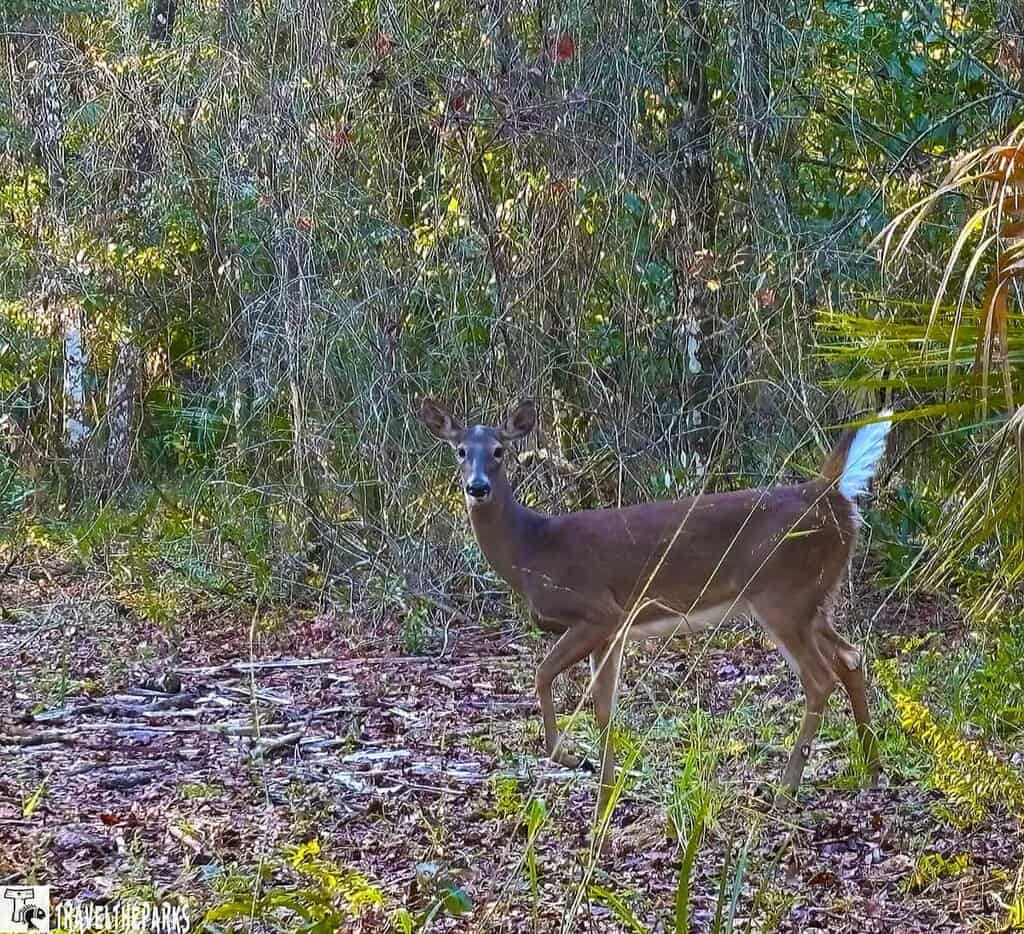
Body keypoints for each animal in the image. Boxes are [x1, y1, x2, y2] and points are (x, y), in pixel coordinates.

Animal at [419, 398, 891, 843]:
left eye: (499, 450)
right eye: (460, 451)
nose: (477, 487)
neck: (532, 549)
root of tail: (833, 493)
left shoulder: (599, 612)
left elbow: (544, 675)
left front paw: (572, 759)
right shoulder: (614, 630)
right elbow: (604, 708)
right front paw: (604, 805)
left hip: (782, 595)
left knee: (819, 678)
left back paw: (785, 791)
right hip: (814, 599)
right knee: (851, 657)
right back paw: (872, 769)